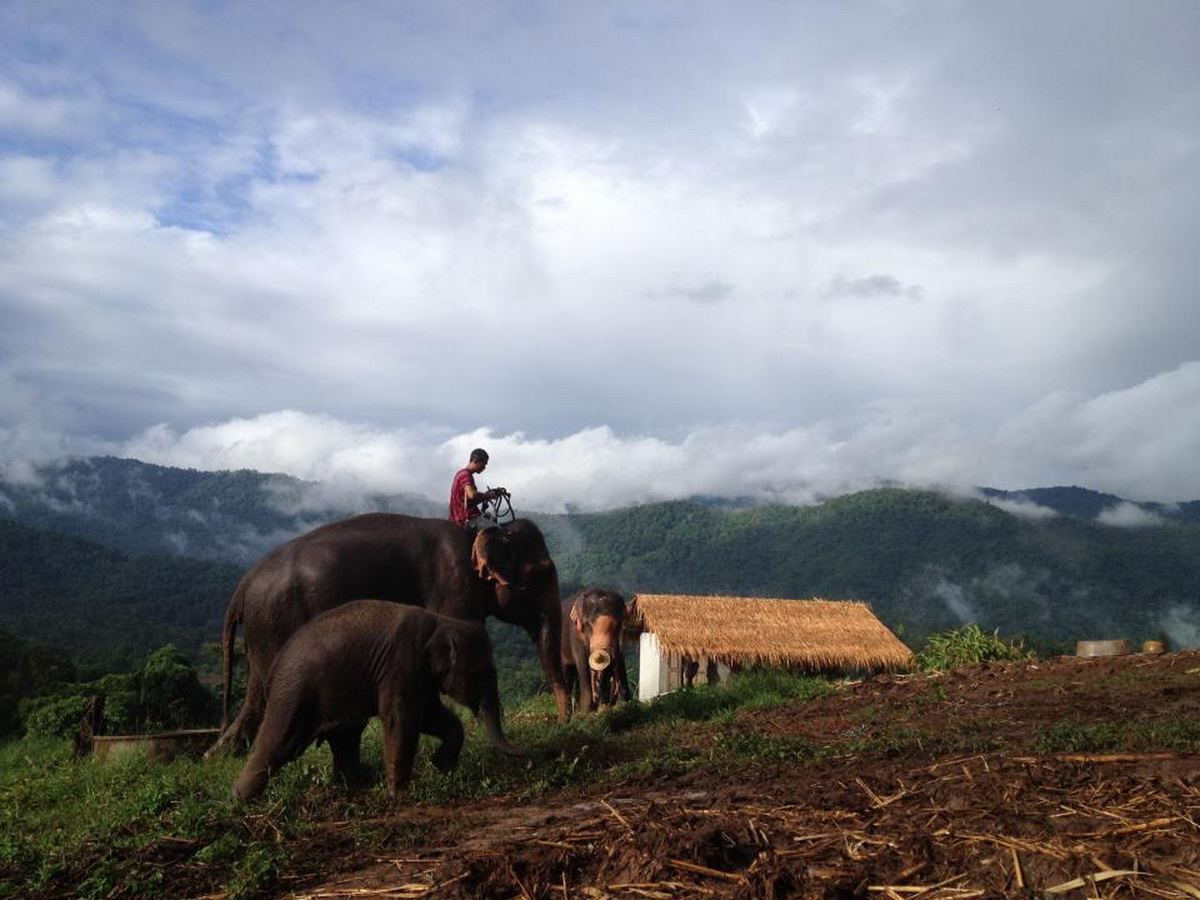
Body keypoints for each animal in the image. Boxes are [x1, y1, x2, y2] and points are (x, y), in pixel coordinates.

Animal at [208, 513, 568, 763]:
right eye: (542, 572)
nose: (563, 723)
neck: (480, 533)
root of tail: (244, 584)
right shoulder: (454, 588)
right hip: (277, 621)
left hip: (262, 631)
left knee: (257, 697)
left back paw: (218, 756)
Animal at [232, 600, 530, 801]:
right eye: (479, 673)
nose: (528, 759)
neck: (440, 621)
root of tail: (275, 663)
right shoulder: (401, 663)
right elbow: (402, 718)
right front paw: (398, 794)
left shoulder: (420, 675)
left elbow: (431, 715)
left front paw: (441, 765)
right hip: (293, 692)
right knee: (277, 744)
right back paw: (241, 800)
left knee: (346, 737)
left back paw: (356, 783)